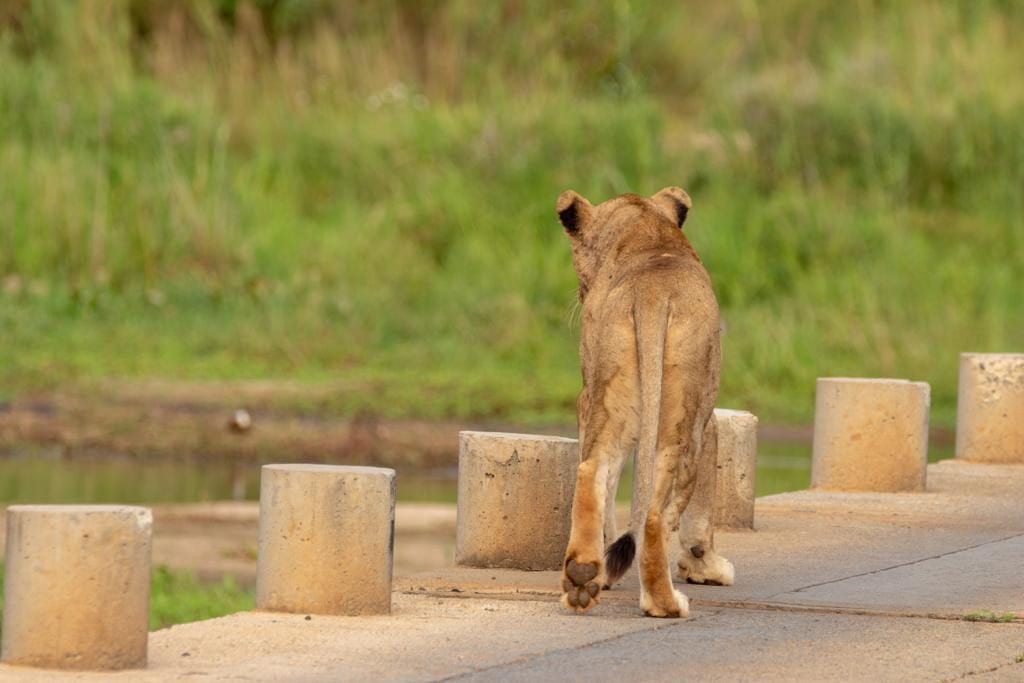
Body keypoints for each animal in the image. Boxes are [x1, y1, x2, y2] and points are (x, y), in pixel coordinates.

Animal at [556, 187, 734, 618]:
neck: (647, 233)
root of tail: (651, 295)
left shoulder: (588, 397)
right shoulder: (708, 418)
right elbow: (701, 514)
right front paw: (707, 567)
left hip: (608, 397)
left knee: (591, 471)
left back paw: (583, 577)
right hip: (683, 424)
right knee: (655, 516)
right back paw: (665, 602)